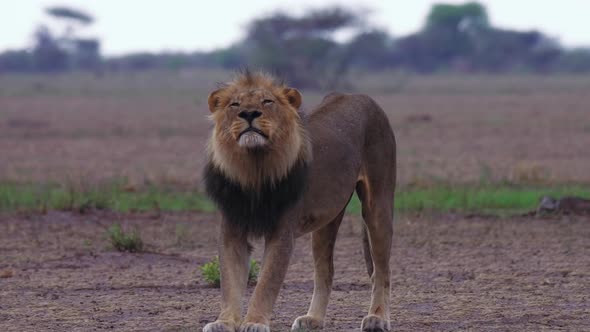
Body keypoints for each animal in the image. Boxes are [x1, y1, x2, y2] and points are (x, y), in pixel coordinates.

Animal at [204, 70, 398, 332]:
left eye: (267, 101)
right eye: (235, 104)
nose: (249, 113)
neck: (254, 168)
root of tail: (357, 95)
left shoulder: (282, 233)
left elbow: (266, 282)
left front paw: (255, 322)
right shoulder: (232, 232)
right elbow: (230, 282)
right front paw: (224, 322)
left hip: (378, 205)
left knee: (382, 270)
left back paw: (377, 318)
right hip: (326, 222)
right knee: (326, 271)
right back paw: (313, 319)